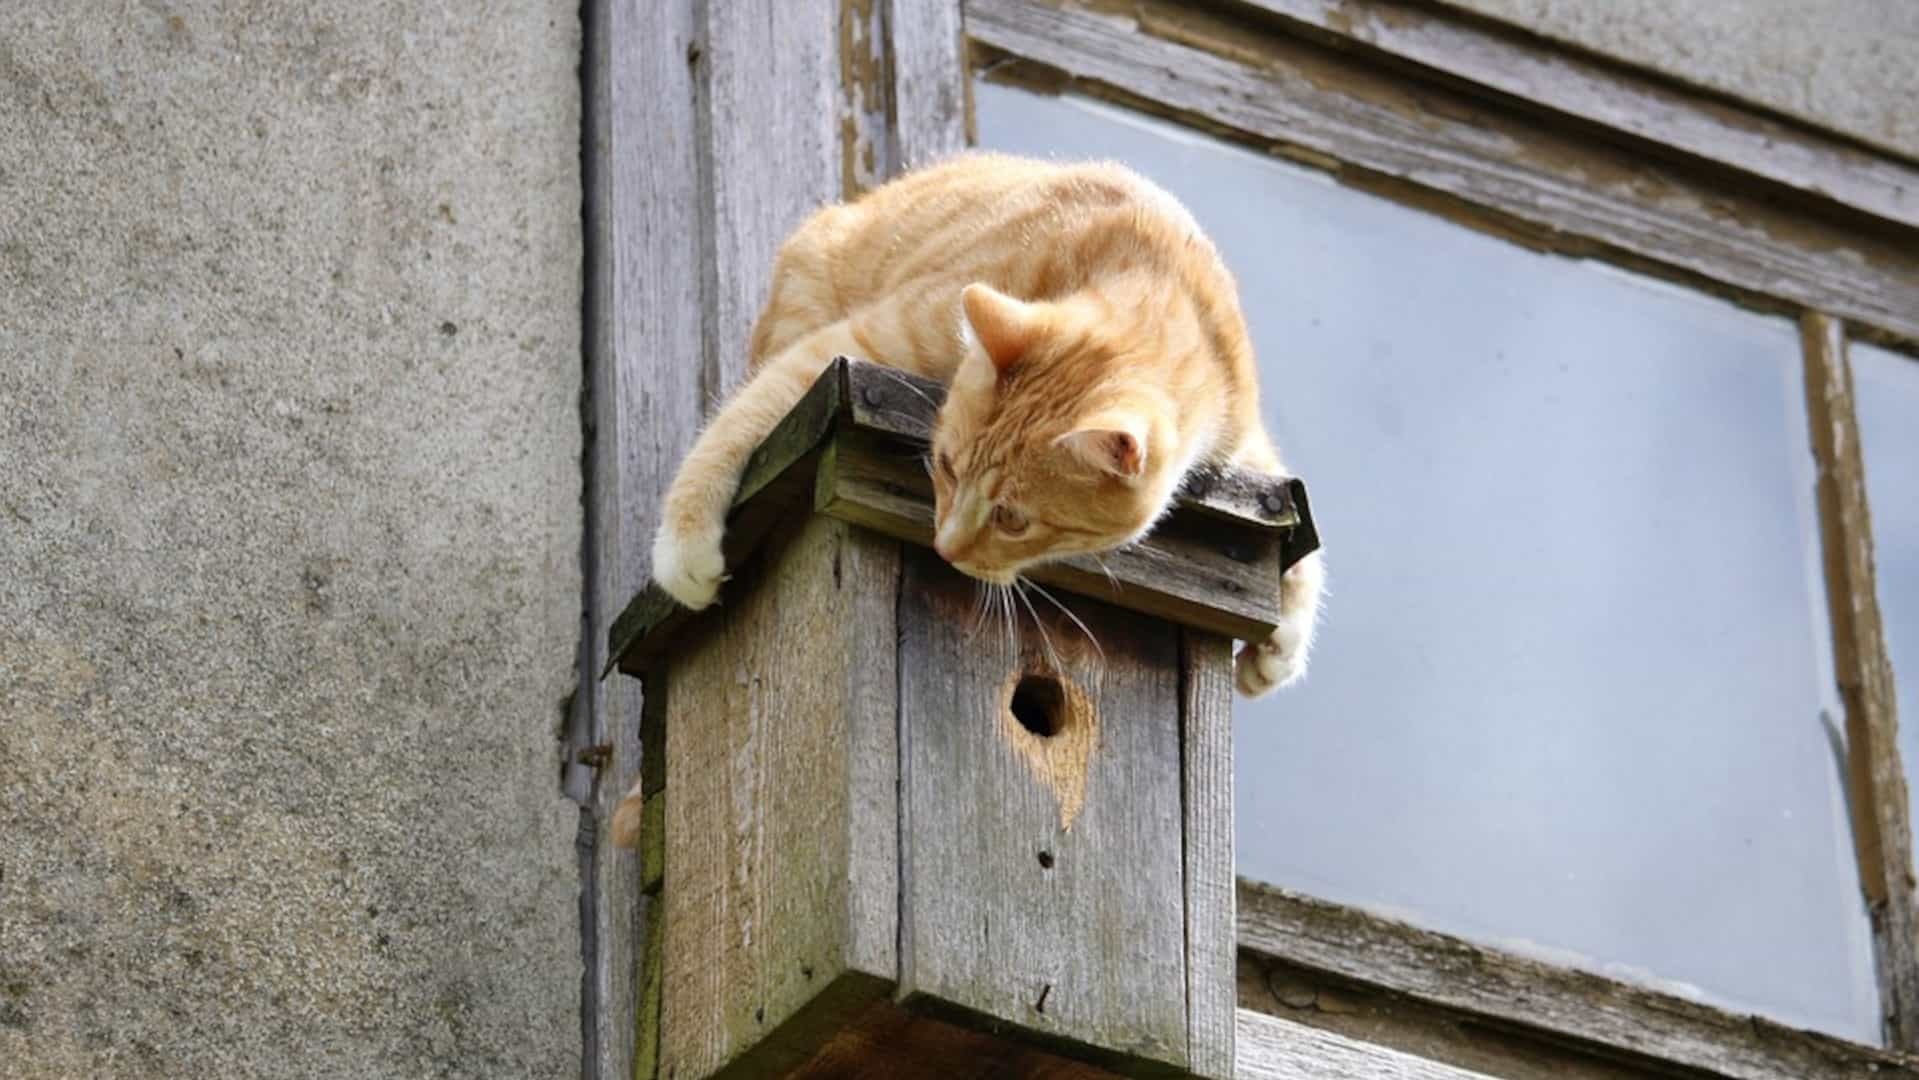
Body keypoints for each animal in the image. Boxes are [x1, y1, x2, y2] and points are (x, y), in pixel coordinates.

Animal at [656, 147, 1320, 694]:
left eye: (1013, 519)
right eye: (945, 466)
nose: (945, 548)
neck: (1159, 275)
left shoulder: (1244, 446)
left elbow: (1297, 516)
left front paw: (1283, 640)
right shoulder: (856, 344)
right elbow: (751, 411)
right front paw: (683, 540)